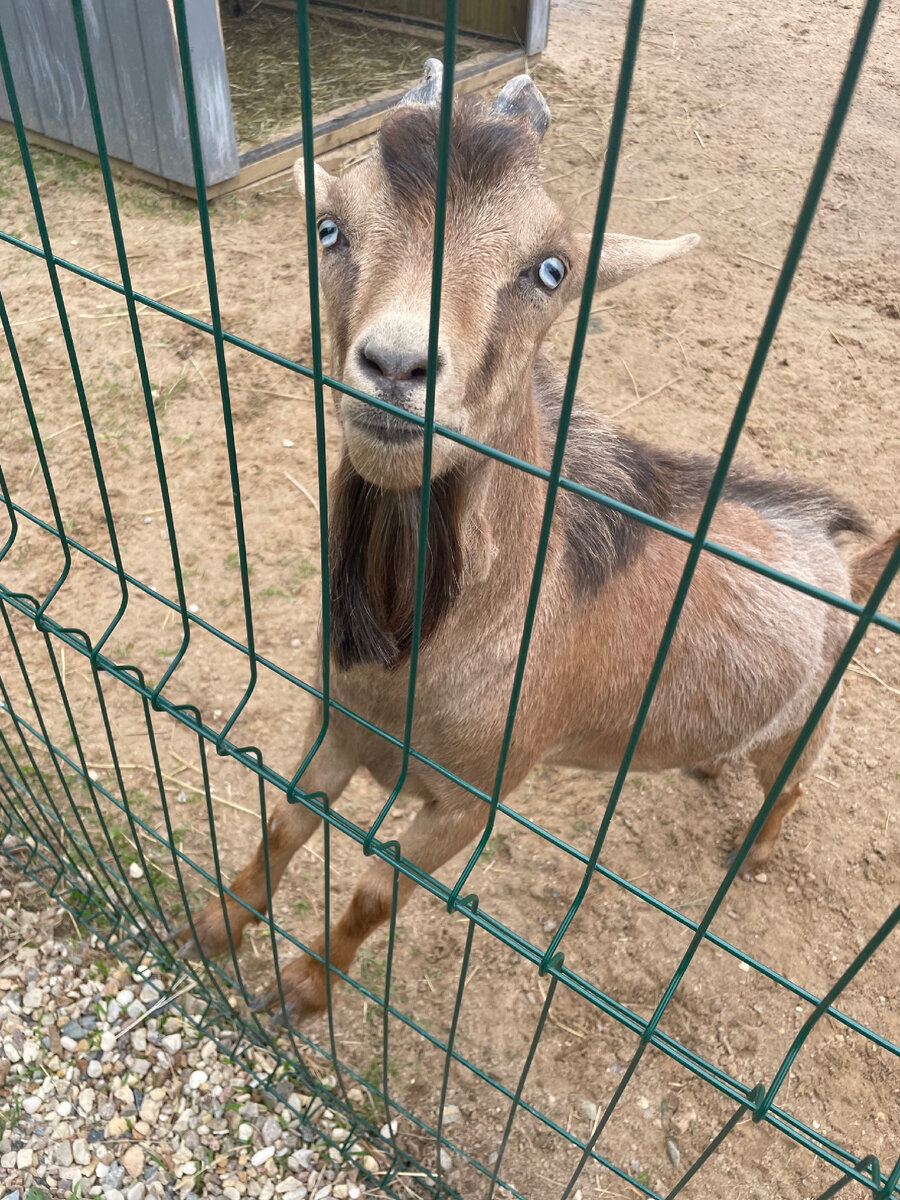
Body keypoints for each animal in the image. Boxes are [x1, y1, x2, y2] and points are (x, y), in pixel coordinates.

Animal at [174, 60, 897, 1027]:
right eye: (328, 228)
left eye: (550, 270)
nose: (396, 368)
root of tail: (849, 568)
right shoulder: (335, 722)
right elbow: (287, 820)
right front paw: (216, 926)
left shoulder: (472, 800)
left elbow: (375, 892)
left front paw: (302, 988)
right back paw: (711, 770)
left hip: (808, 727)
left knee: (796, 786)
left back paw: (750, 853)